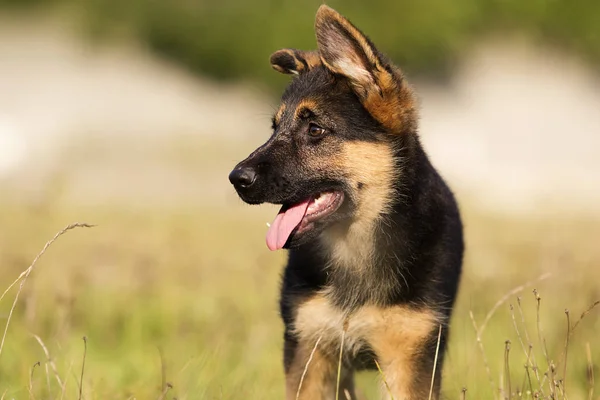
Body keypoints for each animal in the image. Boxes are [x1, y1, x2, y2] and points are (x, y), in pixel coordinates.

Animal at [230, 4, 464, 398]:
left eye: (315, 130)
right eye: (274, 128)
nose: (236, 179)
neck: (353, 244)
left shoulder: (409, 357)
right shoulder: (310, 350)